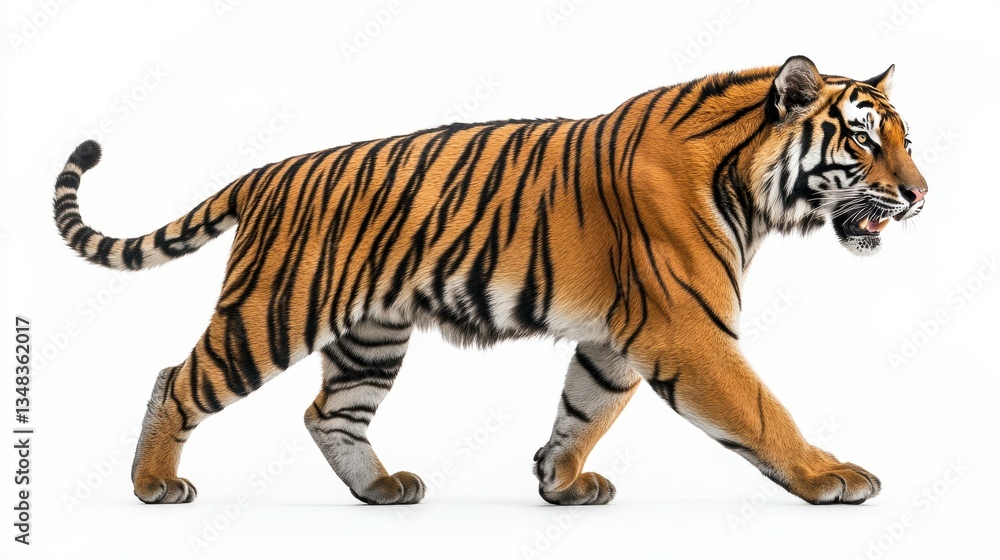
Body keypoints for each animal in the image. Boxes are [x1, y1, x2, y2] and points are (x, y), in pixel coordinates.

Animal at [52, 55, 926, 506]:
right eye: (863, 139)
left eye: (906, 141)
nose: (921, 194)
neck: (749, 186)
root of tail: (266, 172)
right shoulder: (687, 329)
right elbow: (761, 410)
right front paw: (828, 476)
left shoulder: (619, 339)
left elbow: (585, 410)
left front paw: (559, 483)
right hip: (270, 315)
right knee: (175, 380)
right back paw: (154, 484)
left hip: (371, 336)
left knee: (329, 413)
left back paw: (380, 489)